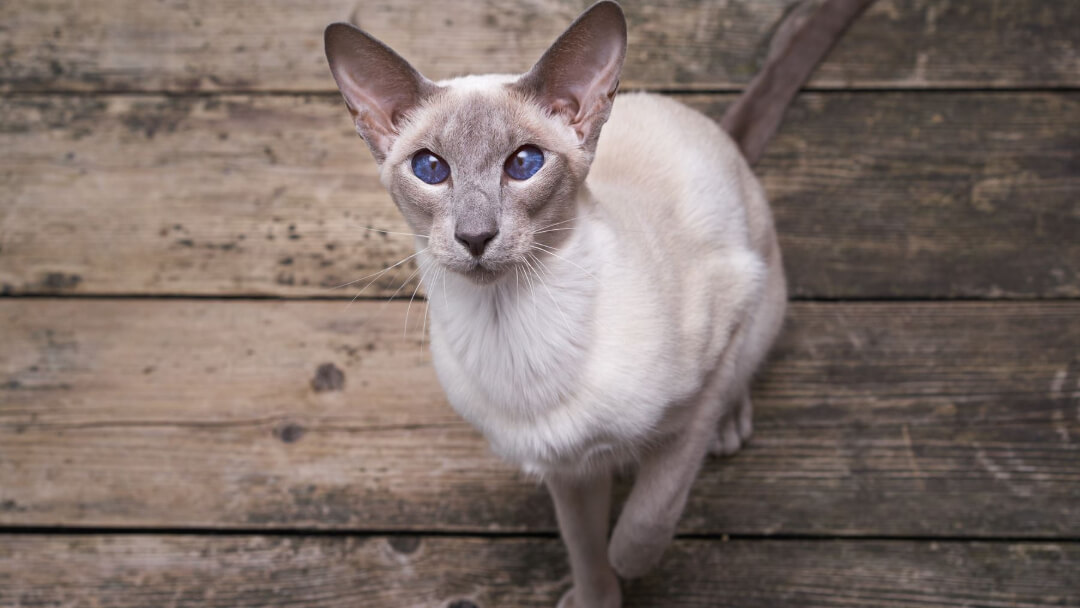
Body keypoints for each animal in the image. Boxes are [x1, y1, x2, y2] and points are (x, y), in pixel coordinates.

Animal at [319, 2, 868, 604]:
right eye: (430, 169)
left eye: (525, 163)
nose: (475, 236)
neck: (512, 328)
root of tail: (719, 132)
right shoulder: (567, 469)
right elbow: (583, 546)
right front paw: (595, 596)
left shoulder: (706, 375)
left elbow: (643, 523)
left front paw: (631, 566)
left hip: (760, 293)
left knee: (744, 369)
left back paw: (730, 427)